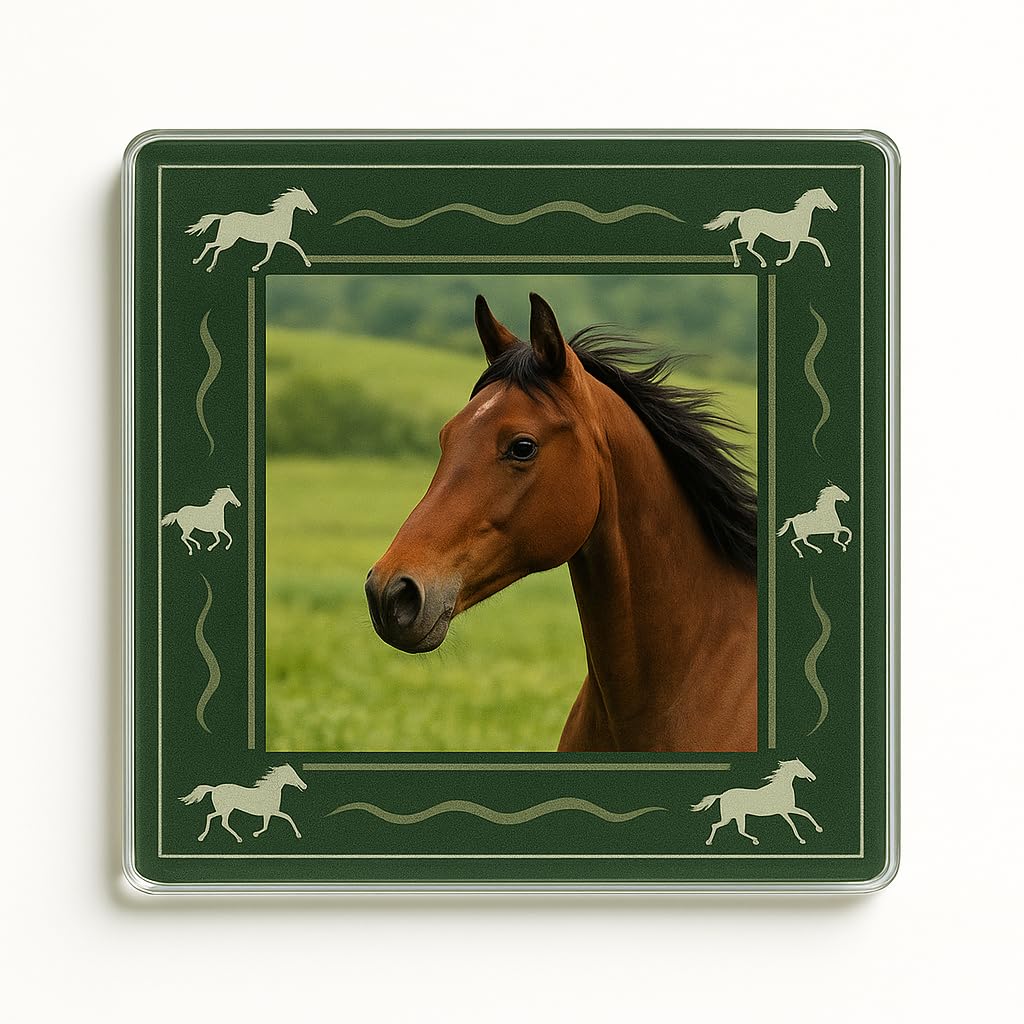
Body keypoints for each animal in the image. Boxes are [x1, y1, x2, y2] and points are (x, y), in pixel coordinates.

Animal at [187, 187, 317, 272]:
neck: (279, 218)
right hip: (228, 240)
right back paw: (207, 266)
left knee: (212, 247)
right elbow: (295, 247)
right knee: (212, 247)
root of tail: (224, 216)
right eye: (305, 199)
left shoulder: (275, 241)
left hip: (227, 240)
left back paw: (201, 263)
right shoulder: (278, 240)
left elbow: (293, 248)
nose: (315, 210)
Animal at [691, 758, 823, 846]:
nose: (814, 777)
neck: (780, 789)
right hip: (729, 817)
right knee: (718, 826)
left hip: (737, 816)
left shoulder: (788, 809)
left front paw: (819, 829)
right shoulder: (784, 811)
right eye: (802, 767)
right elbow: (793, 823)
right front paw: (802, 839)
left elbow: (806, 814)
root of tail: (722, 795)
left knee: (739, 830)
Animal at [704, 187, 837, 268]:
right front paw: (779, 262)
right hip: (751, 235)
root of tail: (742, 213)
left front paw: (827, 263)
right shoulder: (797, 239)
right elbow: (793, 254)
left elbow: (817, 243)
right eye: (824, 197)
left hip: (751, 236)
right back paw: (757, 263)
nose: (835, 207)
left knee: (744, 246)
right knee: (739, 244)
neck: (800, 217)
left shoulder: (800, 238)